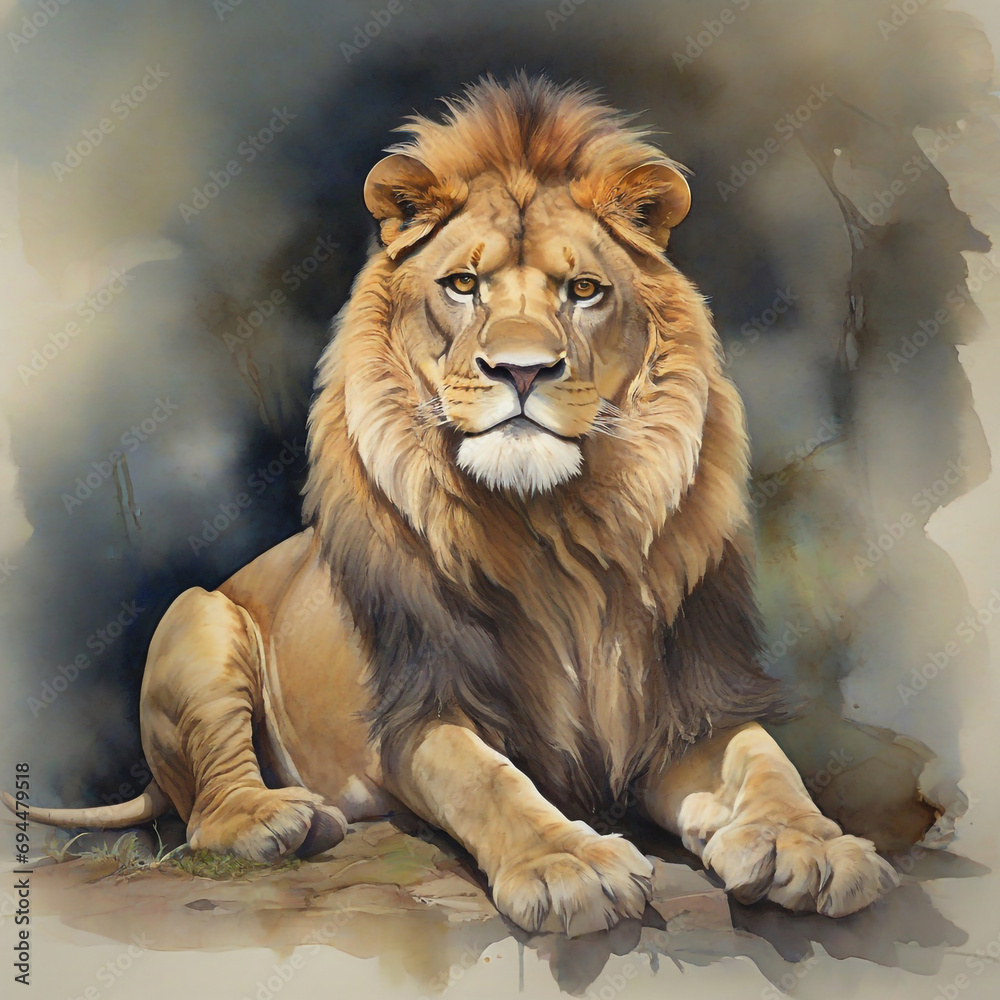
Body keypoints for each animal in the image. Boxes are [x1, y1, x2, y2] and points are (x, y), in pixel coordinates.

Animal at [5, 75, 897, 935]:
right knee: (203, 811)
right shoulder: (421, 708)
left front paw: (809, 845)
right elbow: (488, 780)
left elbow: (766, 760)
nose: (522, 369)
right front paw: (568, 866)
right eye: (463, 285)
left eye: (584, 290)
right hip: (197, 617)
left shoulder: (685, 705)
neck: (555, 530)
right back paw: (281, 820)